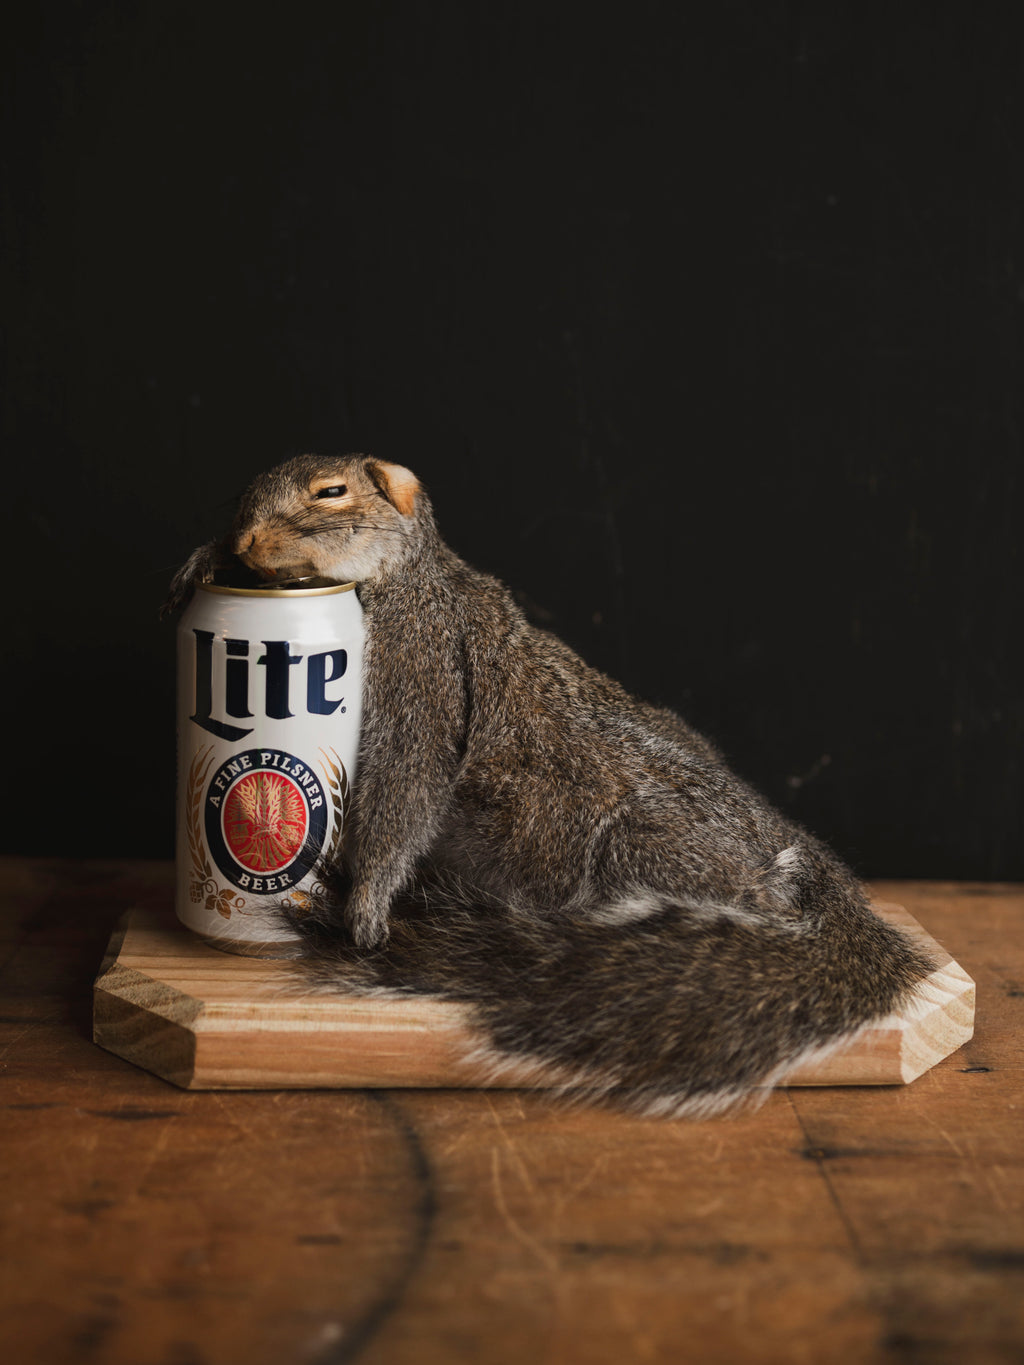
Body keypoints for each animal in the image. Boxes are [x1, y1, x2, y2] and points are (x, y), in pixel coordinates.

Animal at [166, 453, 932, 1116]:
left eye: (331, 492)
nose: (247, 536)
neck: (416, 573)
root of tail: (789, 854)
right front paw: (208, 560)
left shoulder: (423, 656)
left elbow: (405, 785)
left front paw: (365, 908)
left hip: (640, 847)